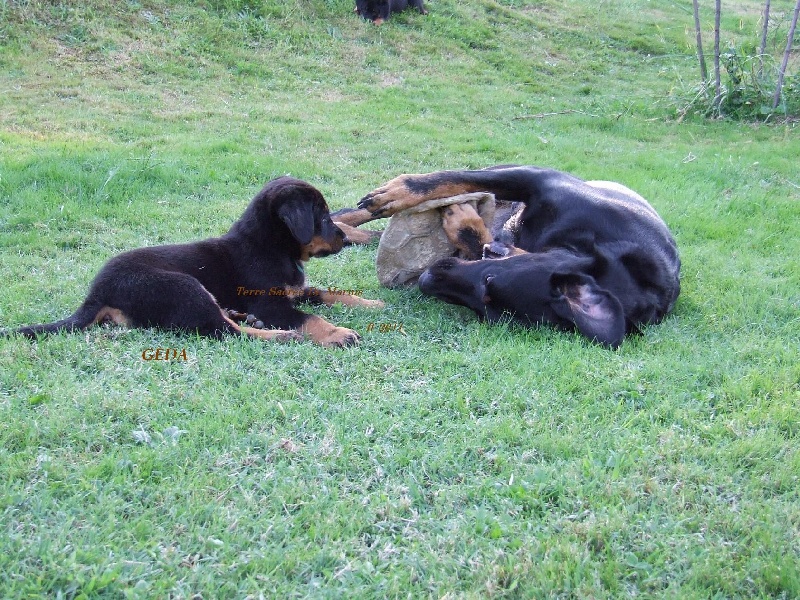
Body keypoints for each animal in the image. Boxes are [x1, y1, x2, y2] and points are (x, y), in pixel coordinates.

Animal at [3, 176, 384, 346]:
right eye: (321, 216)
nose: (343, 237)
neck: (270, 246)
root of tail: (96, 293)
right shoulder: (270, 303)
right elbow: (310, 317)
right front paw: (337, 333)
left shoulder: (290, 290)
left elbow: (324, 292)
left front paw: (371, 302)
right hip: (183, 284)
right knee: (223, 331)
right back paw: (280, 334)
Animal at [346, 166, 680, 350]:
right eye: (489, 279)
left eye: (485, 307)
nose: (426, 280)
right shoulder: (537, 177)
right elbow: (449, 179)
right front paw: (398, 191)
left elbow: (477, 238)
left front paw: (464, 221)